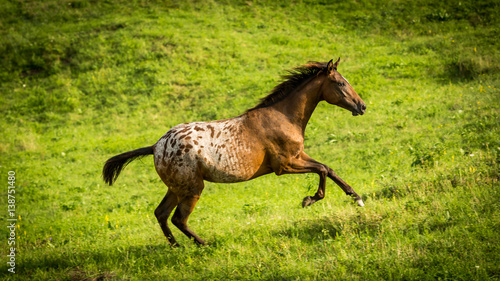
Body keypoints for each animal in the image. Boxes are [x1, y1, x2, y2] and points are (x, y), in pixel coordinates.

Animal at [102, 57, 368, 245]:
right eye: (341, 83)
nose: (362, 106)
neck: (284, 117)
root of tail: (156, 146)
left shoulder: (298, 156)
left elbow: (329, 169)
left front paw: (357, 198)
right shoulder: (284, 165)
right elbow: (322, 170)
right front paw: (309, 200)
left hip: (176, 188)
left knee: (161, 213)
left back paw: (176, 246)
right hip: (192, 188)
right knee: (178, 218)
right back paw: (204, 244)